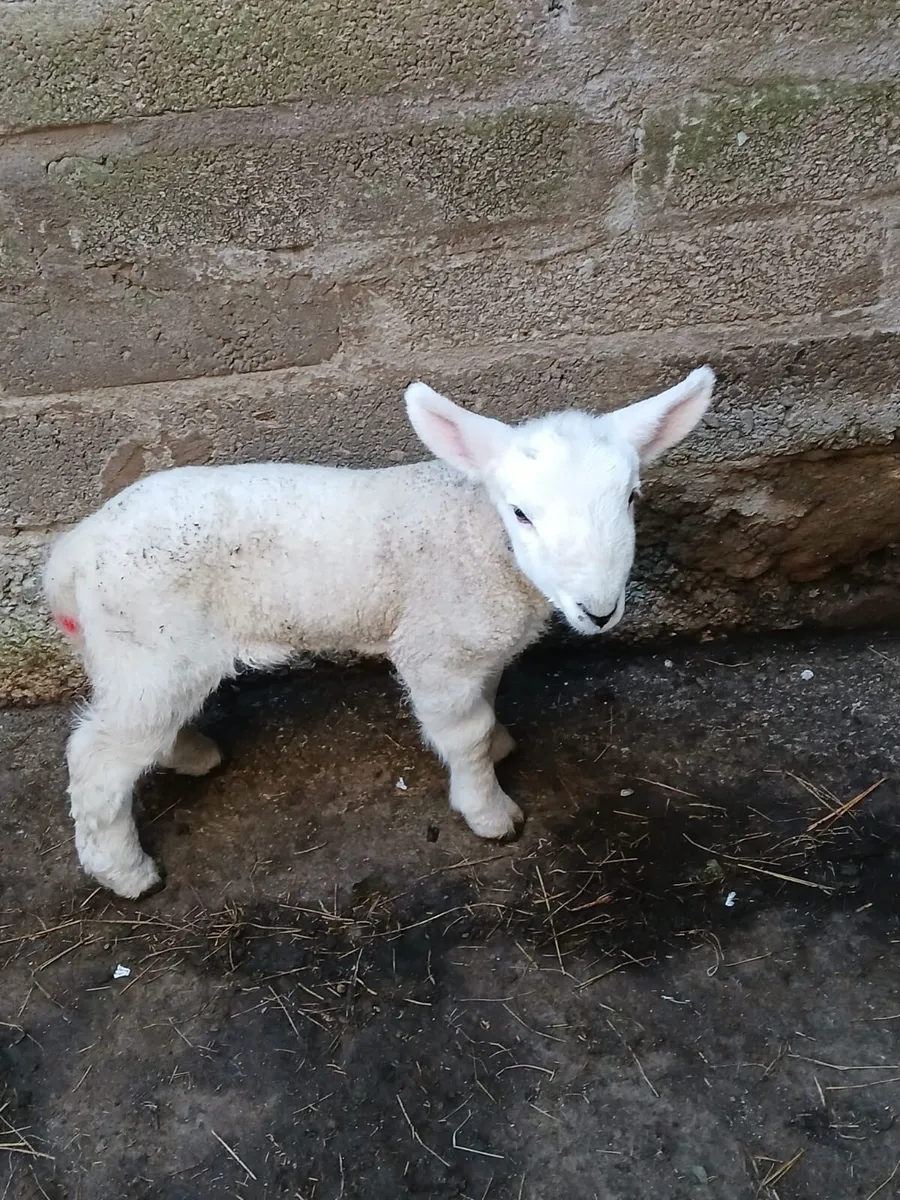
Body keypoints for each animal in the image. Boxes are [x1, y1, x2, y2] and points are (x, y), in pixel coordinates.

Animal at [43, 367, 715, 898]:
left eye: (631, 499)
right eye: (521, 512)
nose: (599, 611)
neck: (485, 540)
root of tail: (71, 556)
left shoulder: (477, 646)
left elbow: (489, 702)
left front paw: (500, 745)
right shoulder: (436, 650)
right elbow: (465, 734)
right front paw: (489, 809)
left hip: (140, 655)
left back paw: (190, 755)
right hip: (150, 646)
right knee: (97, 758)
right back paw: (125, 873)